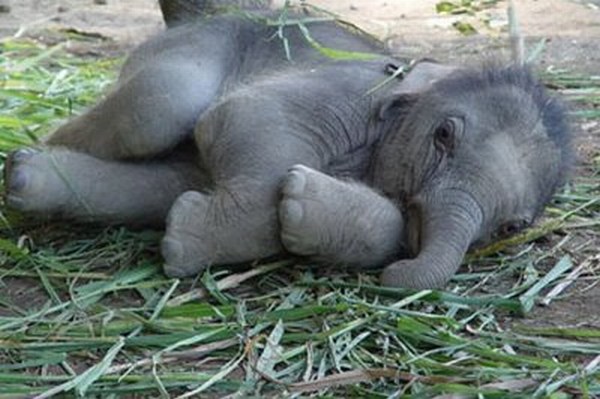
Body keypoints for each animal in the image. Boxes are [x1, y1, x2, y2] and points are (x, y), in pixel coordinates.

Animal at [3, 3, 572, 290]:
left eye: (512, 227)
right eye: (444, 136)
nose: (394, 279)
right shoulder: (345, 90)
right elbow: (243, 117)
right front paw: (183, 246)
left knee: (157, 182)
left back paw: (28, 179)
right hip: (194, 46)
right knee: (159, 106)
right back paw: (26, 163)